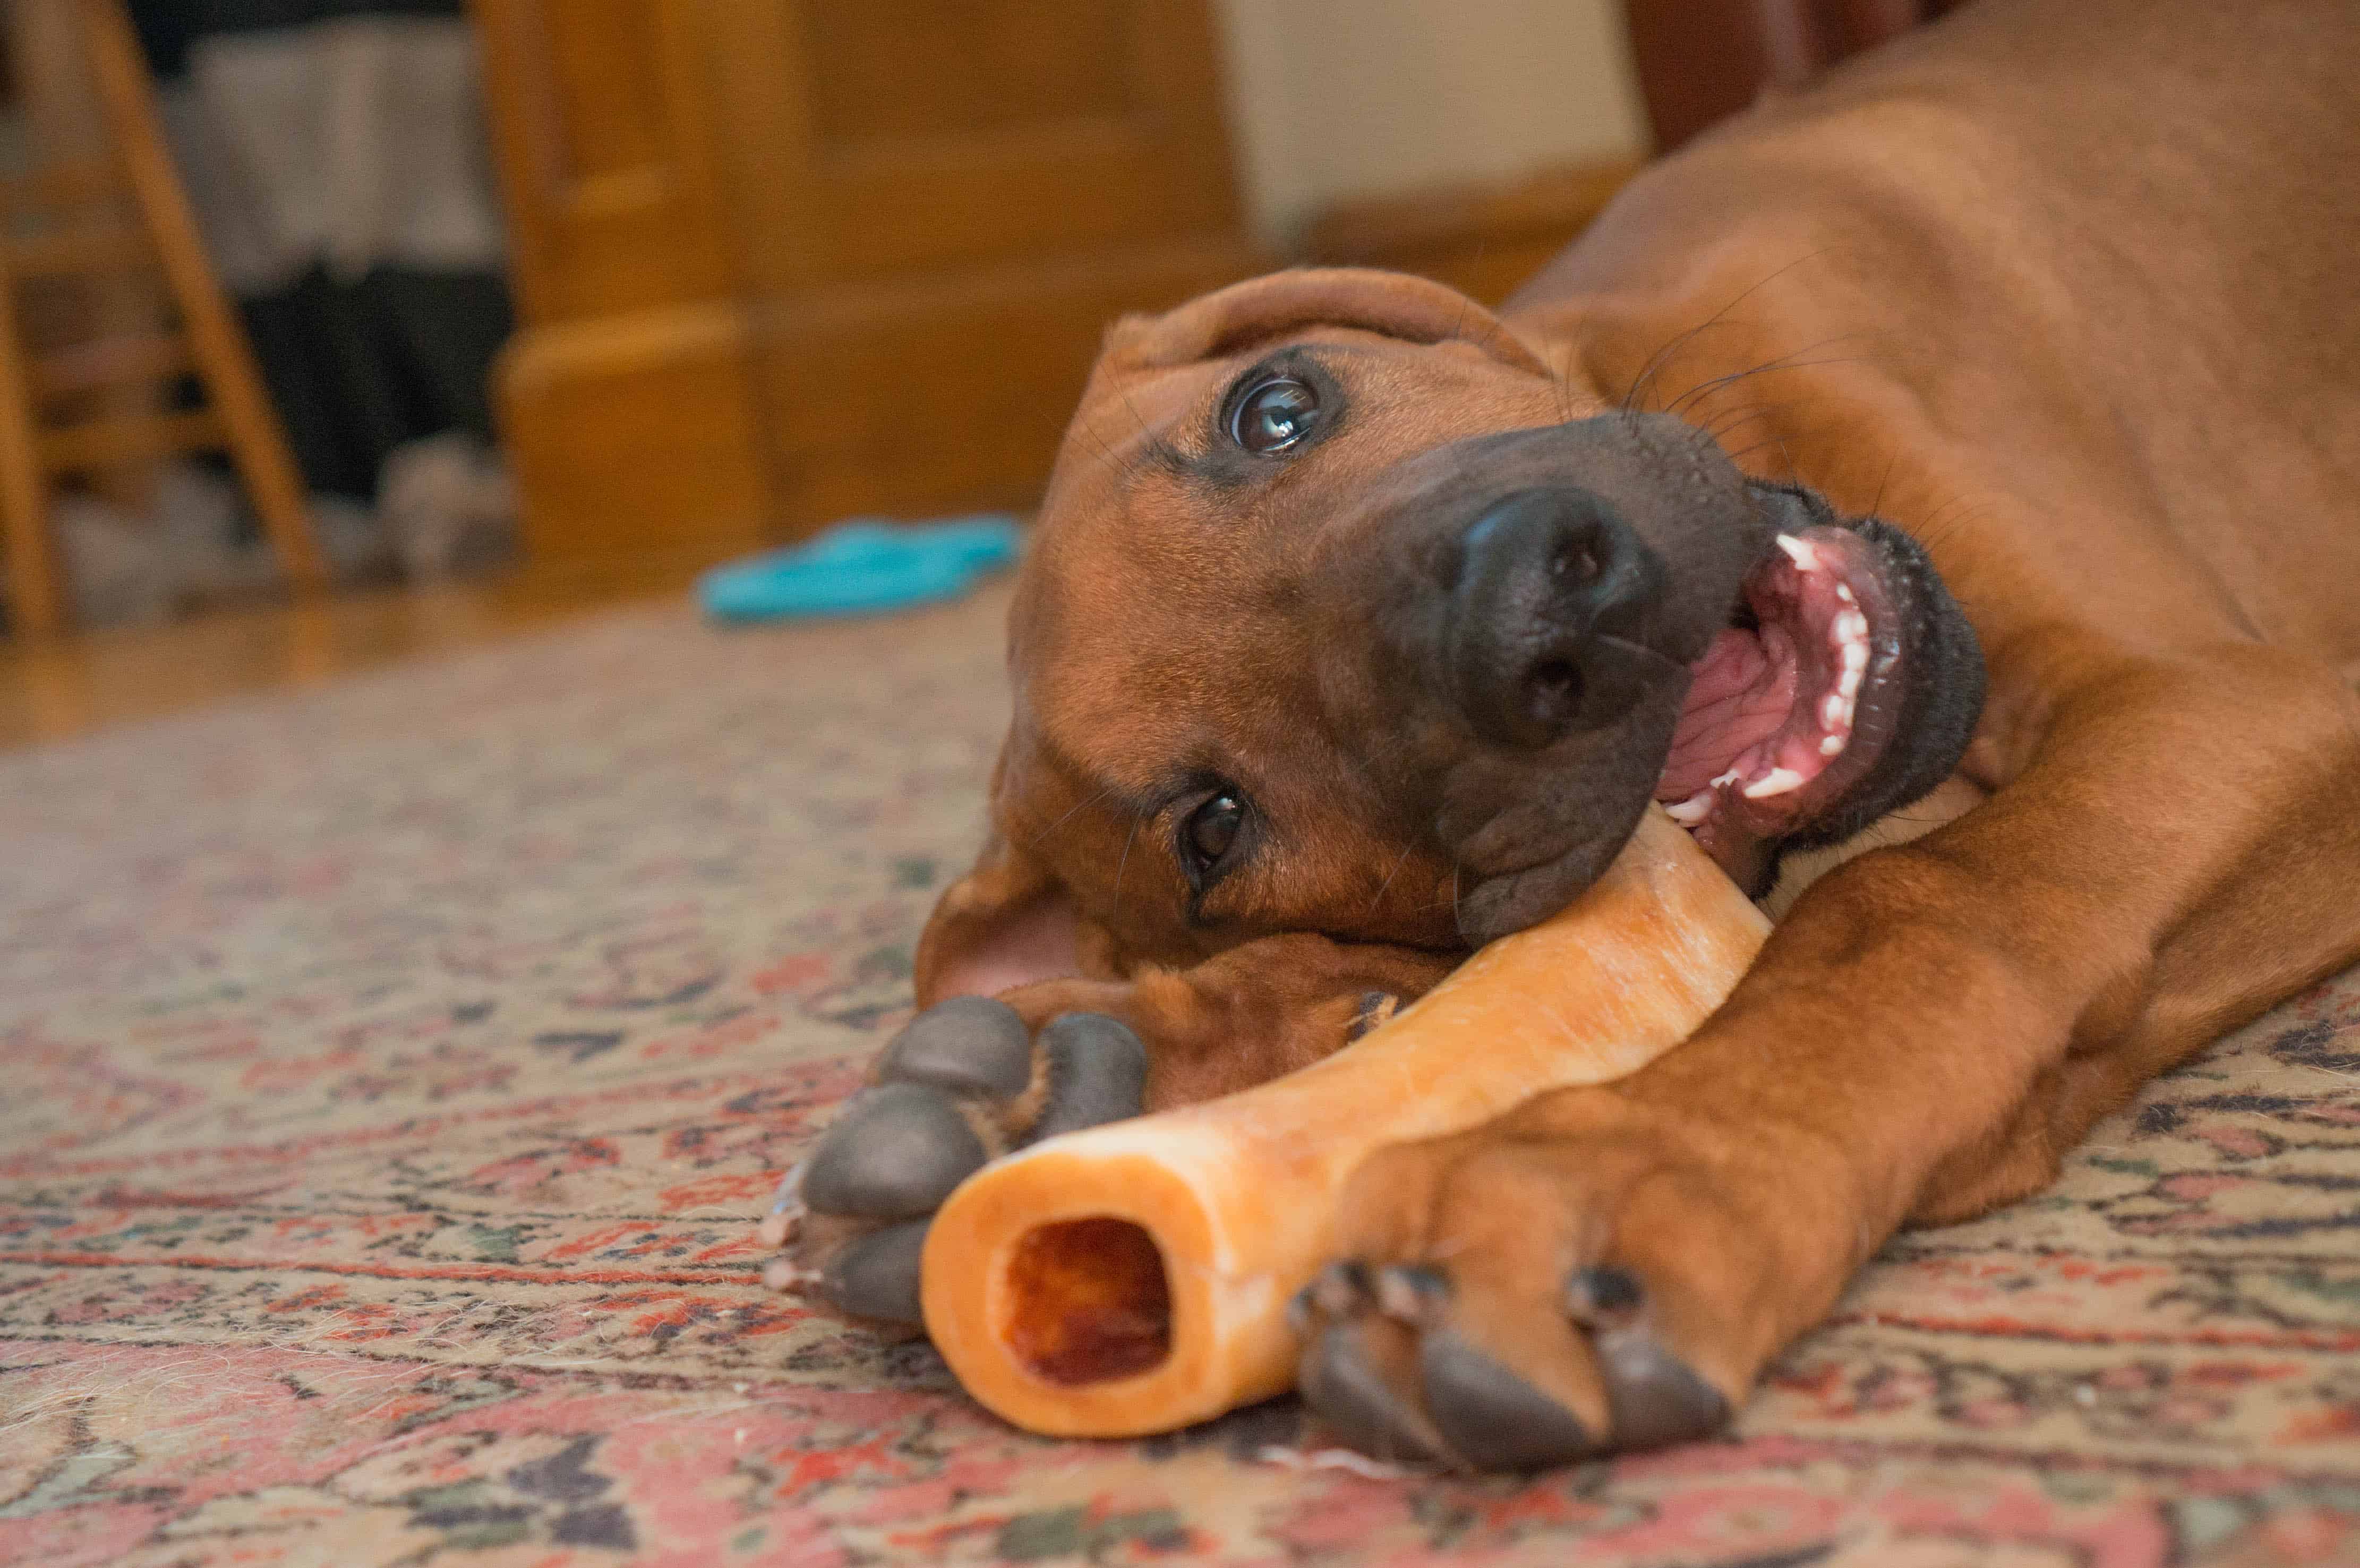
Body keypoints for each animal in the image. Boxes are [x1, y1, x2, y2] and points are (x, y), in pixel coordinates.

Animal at [769, 0, 2360, 1473]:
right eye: (1212, 828)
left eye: (1273, 408)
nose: (1535, 613)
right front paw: (1098, 1072)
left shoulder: (2224, 698)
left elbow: (1916, 902)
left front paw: (1639, 1170)